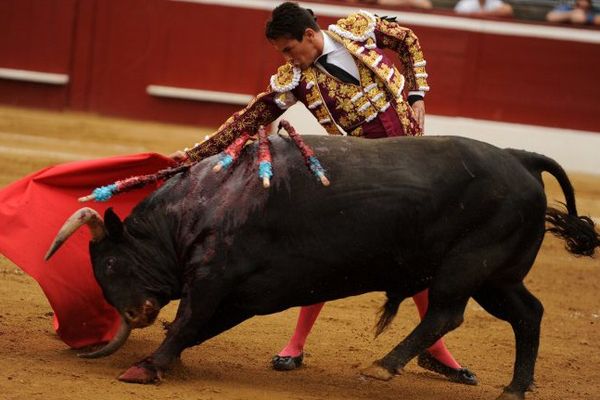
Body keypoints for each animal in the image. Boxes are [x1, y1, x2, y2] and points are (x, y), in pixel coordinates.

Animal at [44, 135, 596, 400]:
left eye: (109, 261)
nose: (133, 315)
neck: (204, 204)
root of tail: (520, 158)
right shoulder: (242, 293)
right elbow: (198, 327)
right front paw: (166, 362)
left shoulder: (214, 278)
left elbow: (188, 321)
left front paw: (146, 366)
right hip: (498, 275)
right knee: (528, 313)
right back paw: (515, 388)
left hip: (468, 265)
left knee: (446, 313)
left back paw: (382, 366)